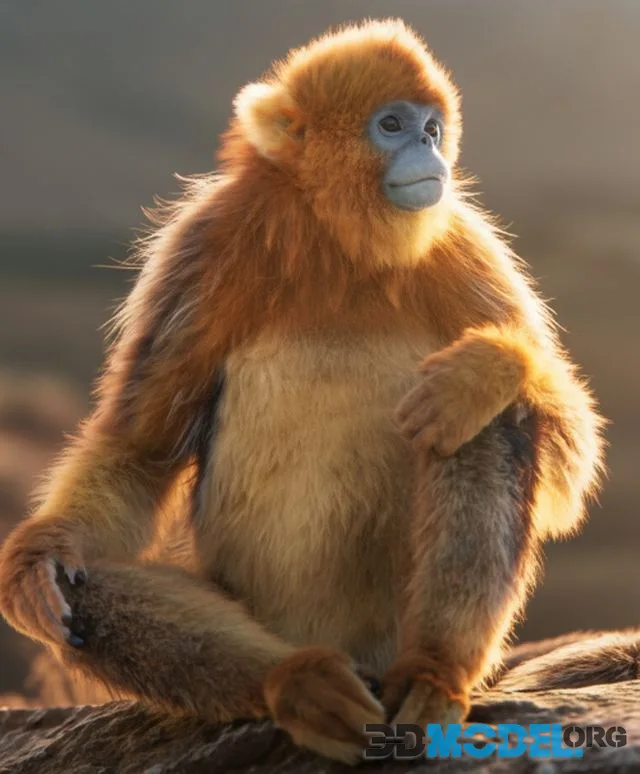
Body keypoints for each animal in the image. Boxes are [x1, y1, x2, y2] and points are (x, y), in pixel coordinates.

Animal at [0, 19, 605, 764]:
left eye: (433, 129)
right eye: (392, 125)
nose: (428, 151)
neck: (338, 241)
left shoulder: (462, 242)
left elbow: (569, 473)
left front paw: (486, 367)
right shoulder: (207, 241)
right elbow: (139, 450)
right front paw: (39, 558)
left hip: (387, 631)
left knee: (482, 421)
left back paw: (430, 673)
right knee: (83, 595)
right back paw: (297, 681)